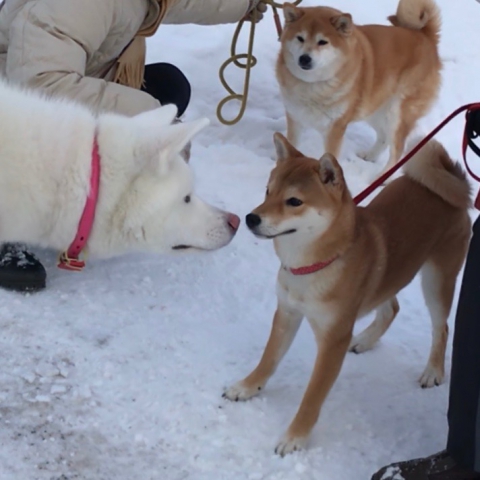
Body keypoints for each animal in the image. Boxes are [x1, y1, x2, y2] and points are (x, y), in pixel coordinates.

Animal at [225, 133, 472, 456]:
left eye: (294, 201)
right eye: (268, 191)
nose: (251, 218)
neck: (311, 266)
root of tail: (453, 180)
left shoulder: (334, 338)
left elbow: (312, 396)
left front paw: (295, 436)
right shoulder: (287, 313)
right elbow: (269, 359)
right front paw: (247, 386)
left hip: (436, 280)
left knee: (441, 327)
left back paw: (433, 371)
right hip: (386, 276)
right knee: (391, 308)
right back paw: (365, 340)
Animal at [278, 0, 442, 174]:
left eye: (322, 42)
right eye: (300, 38)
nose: (304, 59)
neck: (312, 86)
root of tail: (426, 36)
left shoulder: (335, 129)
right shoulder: (295, 117)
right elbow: (290, 145)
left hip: (397, 114)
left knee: (397, 150)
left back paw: (381, 177)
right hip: (375, 108)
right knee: (384, 137)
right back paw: (370, 155)